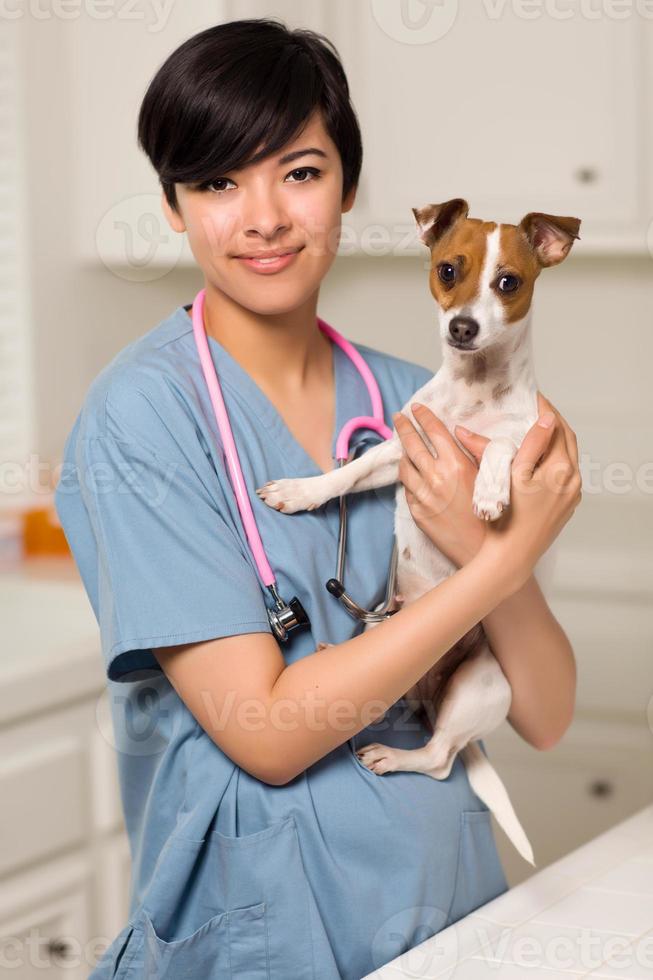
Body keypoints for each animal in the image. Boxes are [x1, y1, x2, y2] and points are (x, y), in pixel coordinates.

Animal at [255, 201, 580, 864]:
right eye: (448, 269)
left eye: (509, 281)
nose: (462, 326)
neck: (473, 392)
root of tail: (427, 695)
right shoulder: (397, 455)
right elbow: (347, 474)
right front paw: (301, 492)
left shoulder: (524, 444)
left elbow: (501, 445)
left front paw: (488, 490)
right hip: (397, 649)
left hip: (478, 685)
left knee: (438, 760)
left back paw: (393, 755)